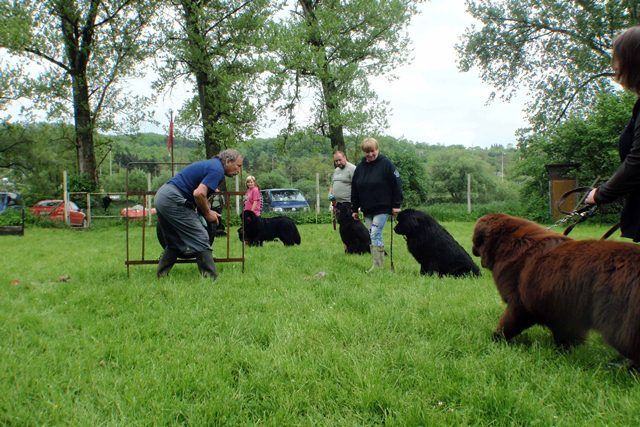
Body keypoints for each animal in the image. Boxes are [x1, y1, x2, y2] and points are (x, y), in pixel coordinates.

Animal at [470, 216, 640, 370]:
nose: (472, 250)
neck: (509, 243)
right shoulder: (563, 311)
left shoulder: (520, 305)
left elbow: (506, 324)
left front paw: (495, 339)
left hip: (617, 324)